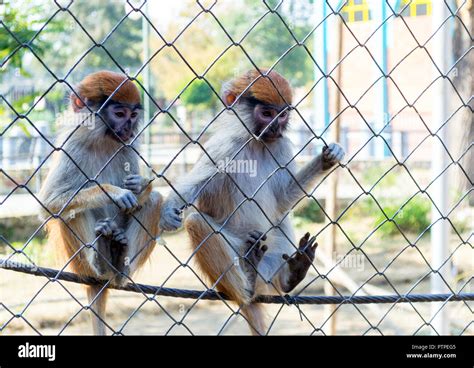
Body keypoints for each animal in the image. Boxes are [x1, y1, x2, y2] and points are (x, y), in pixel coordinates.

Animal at [37, 70, 180, 334]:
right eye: (120, 114)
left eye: (133, 115)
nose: (129, 128)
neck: (103, 140)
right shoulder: (70, 146)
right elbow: (49, 205)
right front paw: (113, 192)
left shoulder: (128, 146)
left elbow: (142, 197)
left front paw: (141, 186)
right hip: (79, 264)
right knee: (69, 212)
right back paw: (101, 261)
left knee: (155, 200)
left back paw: (120, 264)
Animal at [161, 68, 346, 334]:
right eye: (266, 114)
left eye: (282, 115)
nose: (276, 128)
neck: (256, 141)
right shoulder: (224, 146)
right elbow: (196, 187)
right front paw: (168, 210)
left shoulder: (279, 145)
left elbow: (282, 201)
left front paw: (328, 158)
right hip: (238, 251)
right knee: (196, 222)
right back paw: (247, 282)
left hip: (274, 257)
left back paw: (290, 275)